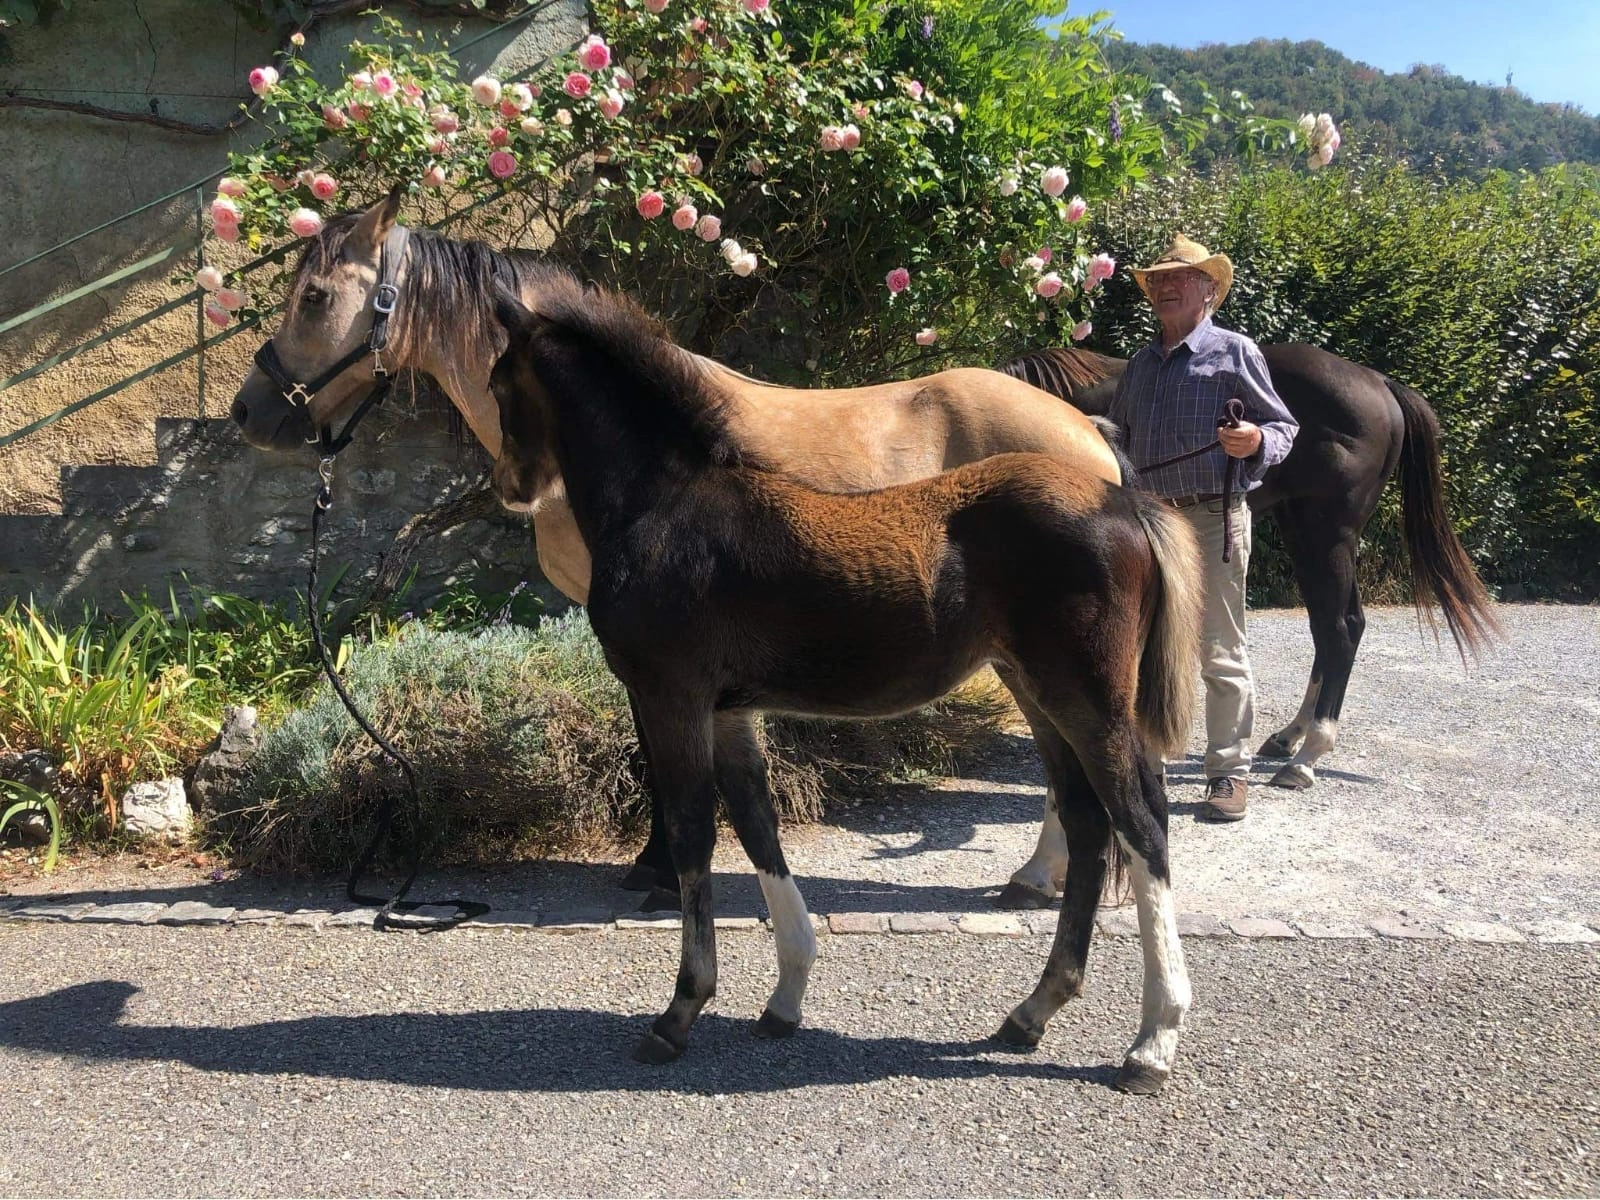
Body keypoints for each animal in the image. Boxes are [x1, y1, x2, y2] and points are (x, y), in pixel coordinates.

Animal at [227, 193, 1135, 911]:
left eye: (314, 296)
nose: (248, 415)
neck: (626, 444)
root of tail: (1087, 430)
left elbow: (657, 749)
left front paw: (661, 869)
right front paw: (656, 862)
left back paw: (1038, 875)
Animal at [485, 265, 1205, 1091]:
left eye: (499, 381)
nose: (508, 484)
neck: (664, 504)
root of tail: (1124, 498)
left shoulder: (671, 696)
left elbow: (694, 834)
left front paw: (679, 1012)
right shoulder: (729, 710)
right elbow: (758, 826)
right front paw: (784, 998)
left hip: (1089, 696)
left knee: (1142, 826)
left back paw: (1152, 1041)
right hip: (1037, 690)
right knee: (1087, 825)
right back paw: (1031, 1012)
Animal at [1001, 344, 1498, 793]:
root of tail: (1380, 384)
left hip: (1328, 535)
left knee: (1339, 629)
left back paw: (1305, 759)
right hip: (1305, 533)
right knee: (1335, 627)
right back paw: (1288, 737)